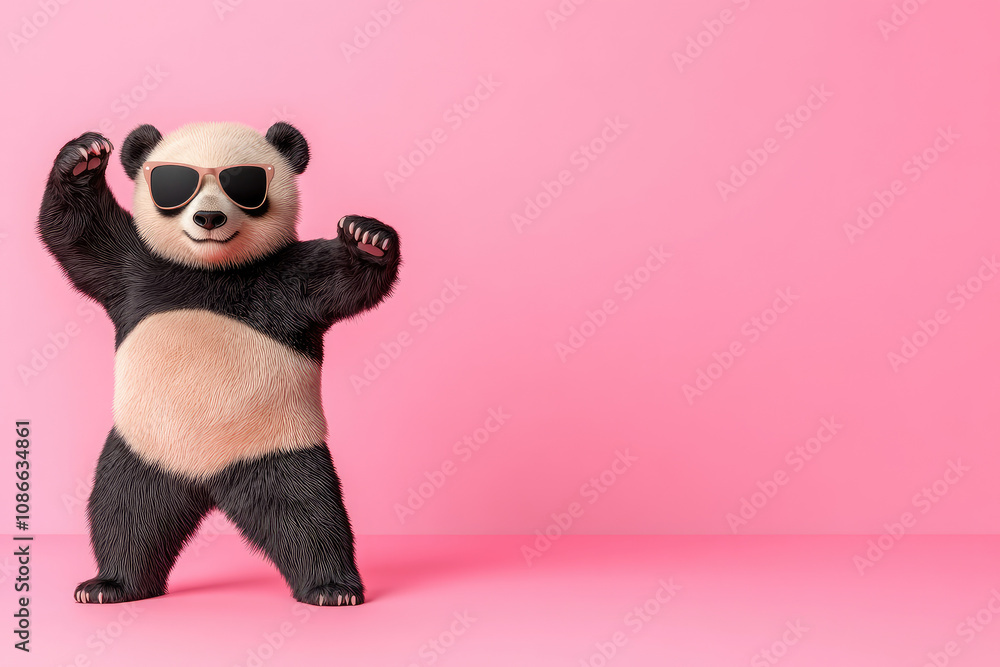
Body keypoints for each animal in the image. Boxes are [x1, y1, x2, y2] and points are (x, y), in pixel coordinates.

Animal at [37, 121, 401, 606]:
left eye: (244, 185)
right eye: (175, 185)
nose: (209, 218)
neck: (212, 269)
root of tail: (206, 481)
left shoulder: (288, 278)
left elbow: (344, 282)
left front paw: (368, 238)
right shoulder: (136, 269)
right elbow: (81, 240)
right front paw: (84, 156)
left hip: (279, 448)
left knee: (309, 513)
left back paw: (331, 587)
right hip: (143, 449)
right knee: (126, 511)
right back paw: (112, 584)